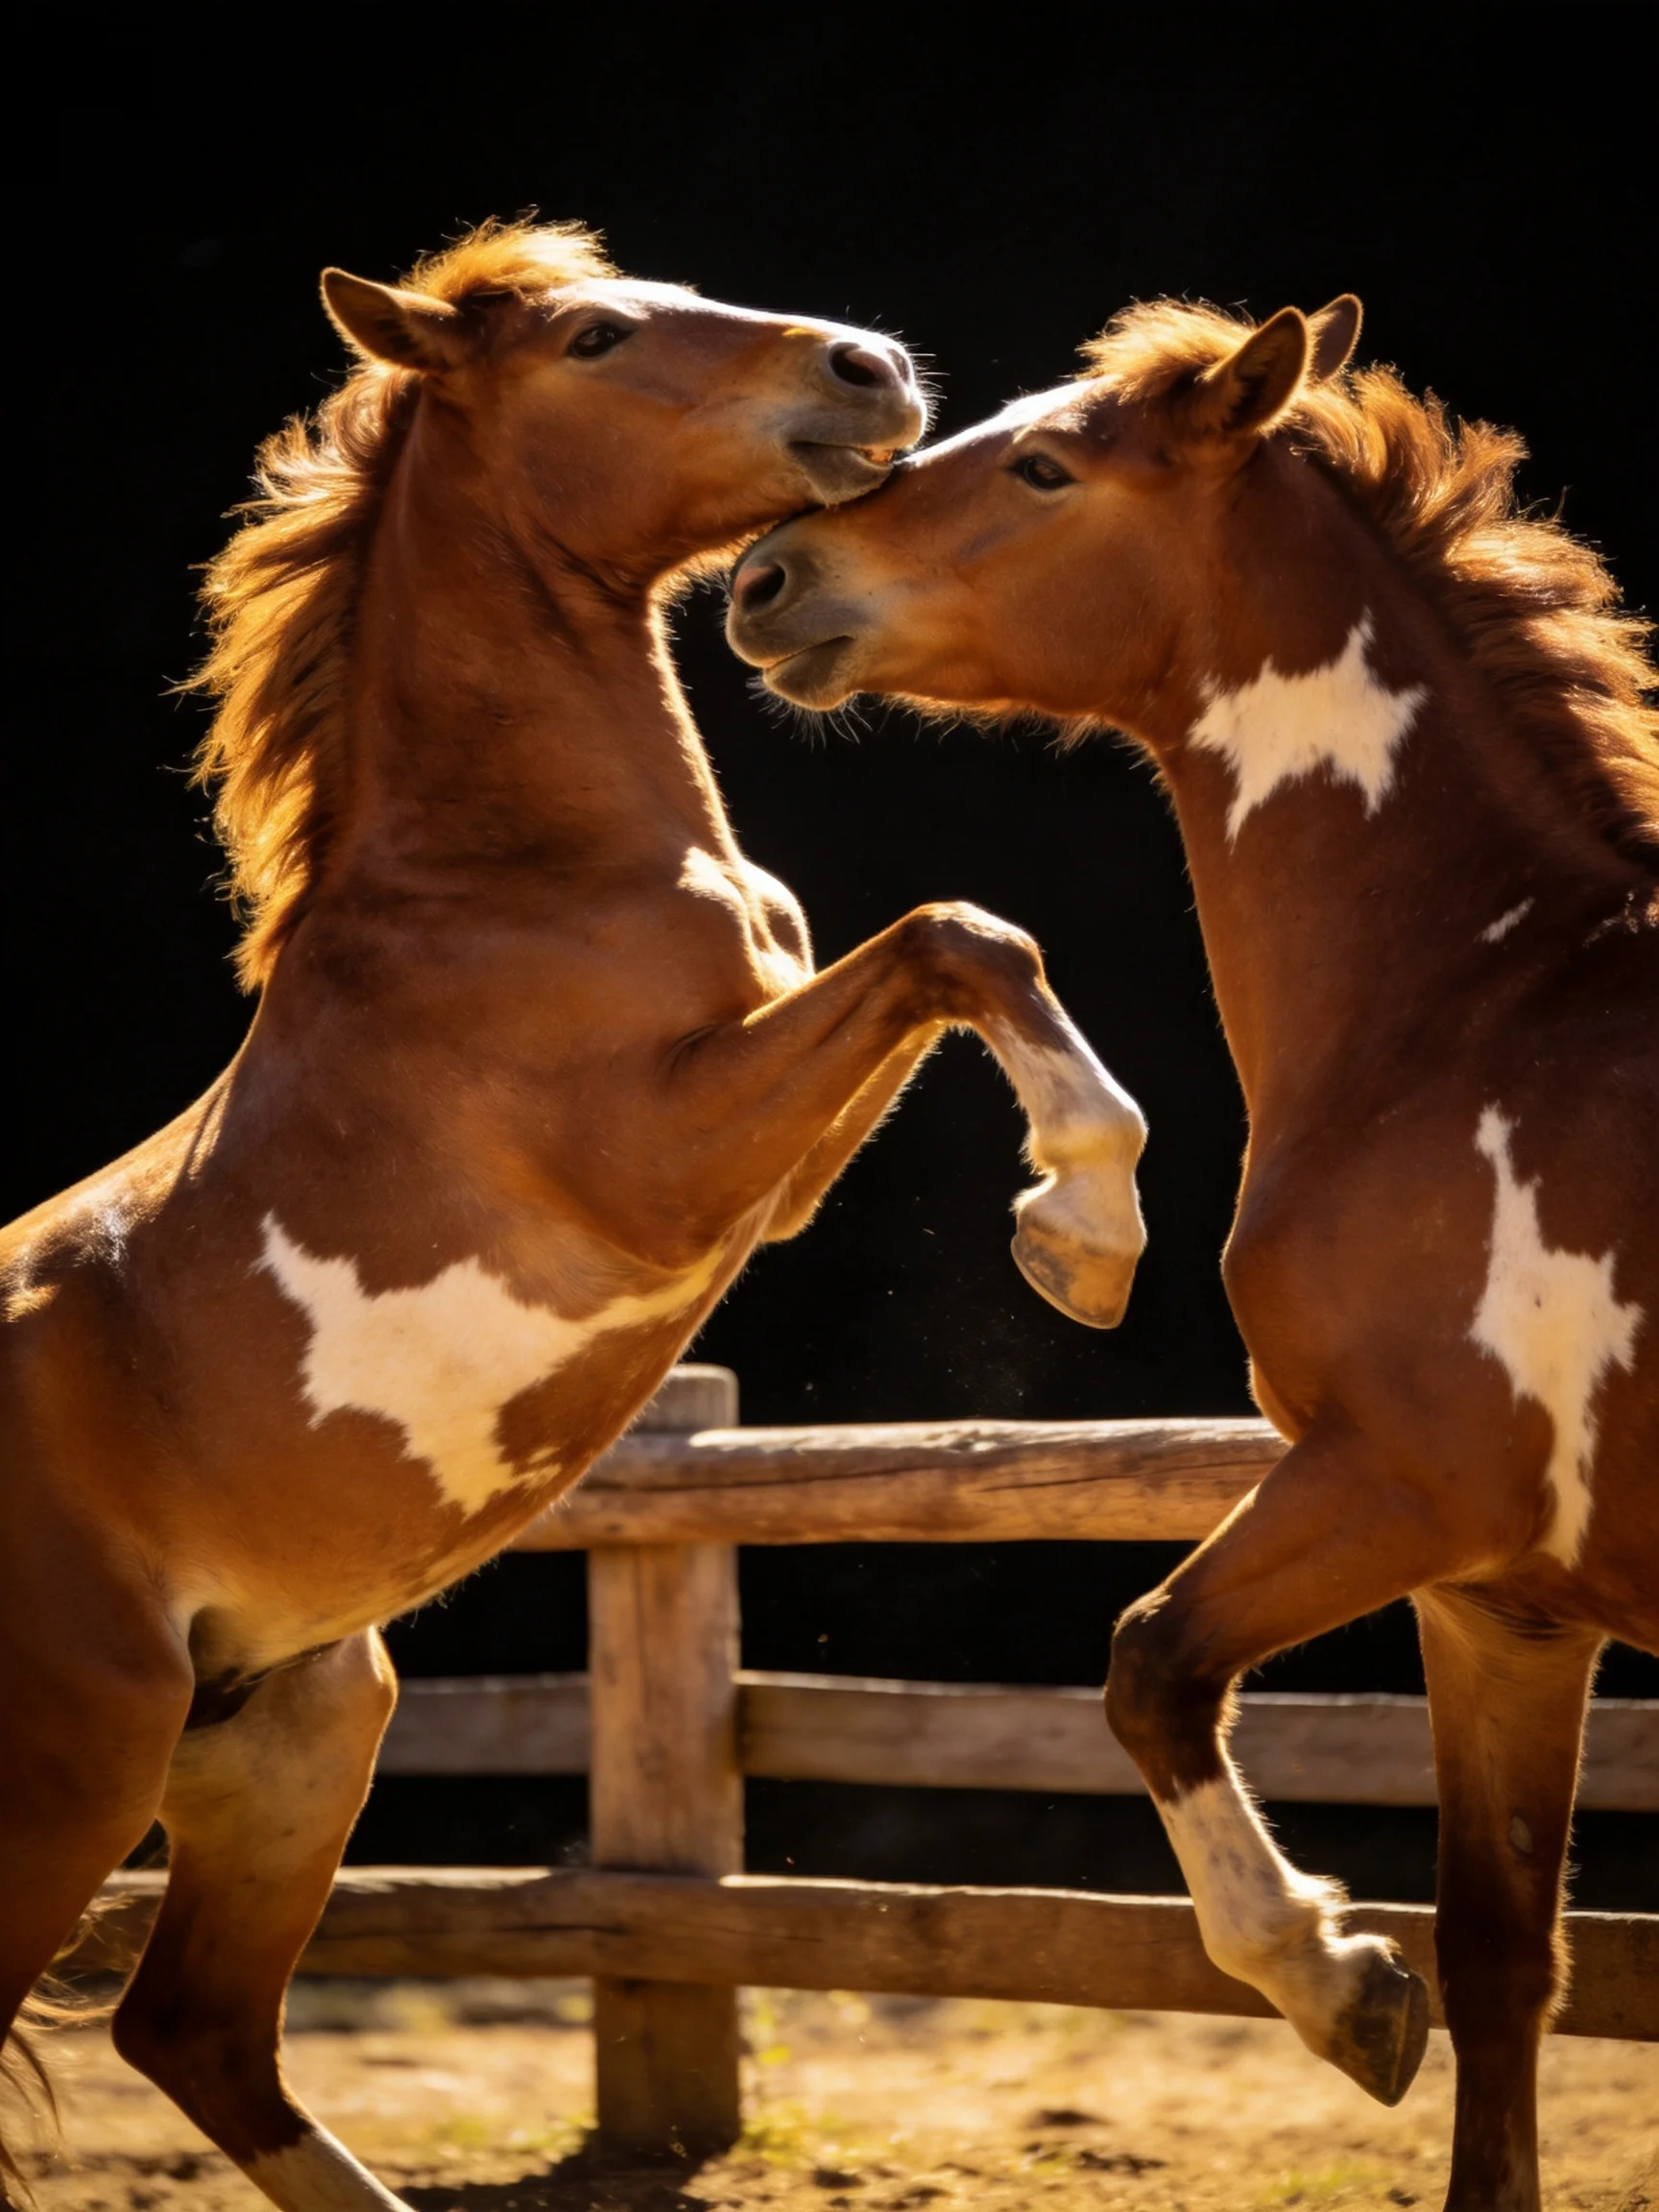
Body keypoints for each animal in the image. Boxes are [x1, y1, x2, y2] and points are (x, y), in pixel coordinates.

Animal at [0, 220, 1151, 2211]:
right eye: (597, 337)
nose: (867, 369)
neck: (510, 879)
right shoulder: (658, 1160)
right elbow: (950, 933)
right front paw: (1084, 1226)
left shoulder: (765, 1166)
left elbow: (966, 946)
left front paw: (1074, 1220)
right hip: (71, 1761)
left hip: (295, 1727)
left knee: (196, 2031)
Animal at [727, 293, 1658, 2212]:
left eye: (1040, 463)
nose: (767, 580)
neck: (1474, 1008)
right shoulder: (1501, 1599)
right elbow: (1500, 1956)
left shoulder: (1396, 1482)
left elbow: (1150, 1657)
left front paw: (1333, 1981)